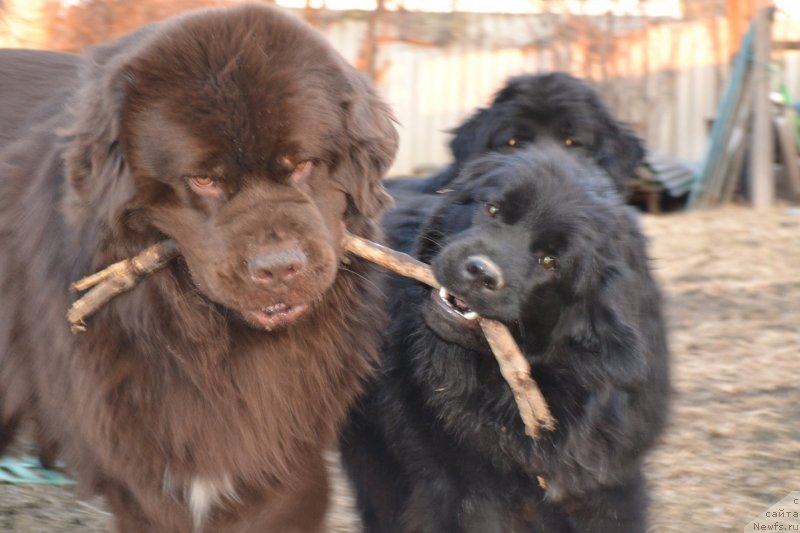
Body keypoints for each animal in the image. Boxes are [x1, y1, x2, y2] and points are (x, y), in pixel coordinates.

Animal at [0, 5, 396, 532]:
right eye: (203, 180)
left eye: (302, 165)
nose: (279, 267)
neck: (208, 347)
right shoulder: (143, 472)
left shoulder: (288, 454)